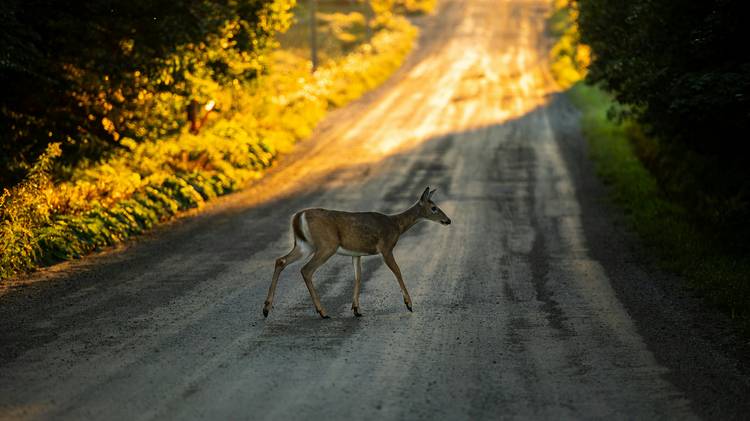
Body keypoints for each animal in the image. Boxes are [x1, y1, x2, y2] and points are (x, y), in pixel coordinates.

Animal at [263, 187, 452, 319]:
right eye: (434, 208)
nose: (448, 220)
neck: (396, 226)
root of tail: (298, 216)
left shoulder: (356, 254)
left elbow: (358, 277)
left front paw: (356, 309)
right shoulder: (386, 247)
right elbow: (398, 271)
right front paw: (409, 304)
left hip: (304, 245)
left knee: (280, 260)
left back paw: (266, 308)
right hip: (327, 245)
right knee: (306, 270)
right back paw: (322, 312)